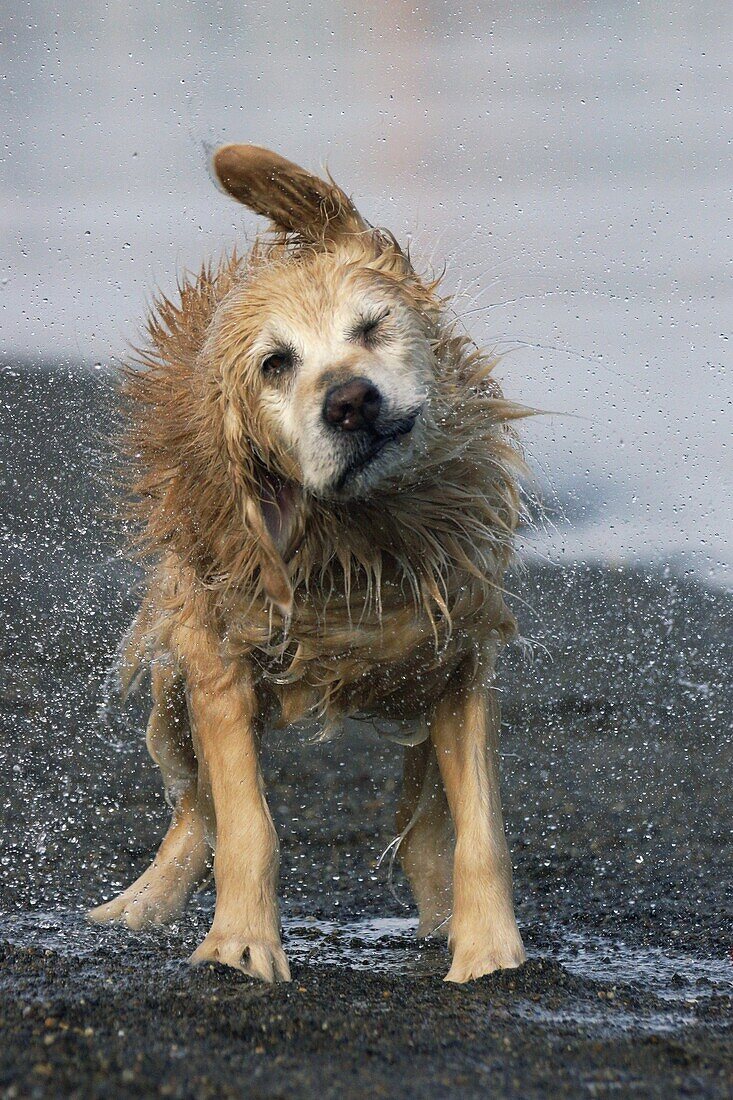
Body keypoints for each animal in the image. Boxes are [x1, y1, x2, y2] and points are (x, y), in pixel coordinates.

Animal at [88, 146, 528, 981]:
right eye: (275, 363)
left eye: (372, 325)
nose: (349, 400)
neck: (357, 534)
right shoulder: (217, 653)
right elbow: (243, 818)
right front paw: (239, 943)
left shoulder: (457, 651)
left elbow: (478, 825)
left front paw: (488, 949)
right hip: (172, 672)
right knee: (194, 807)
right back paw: (145, 901)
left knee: (421, 818)